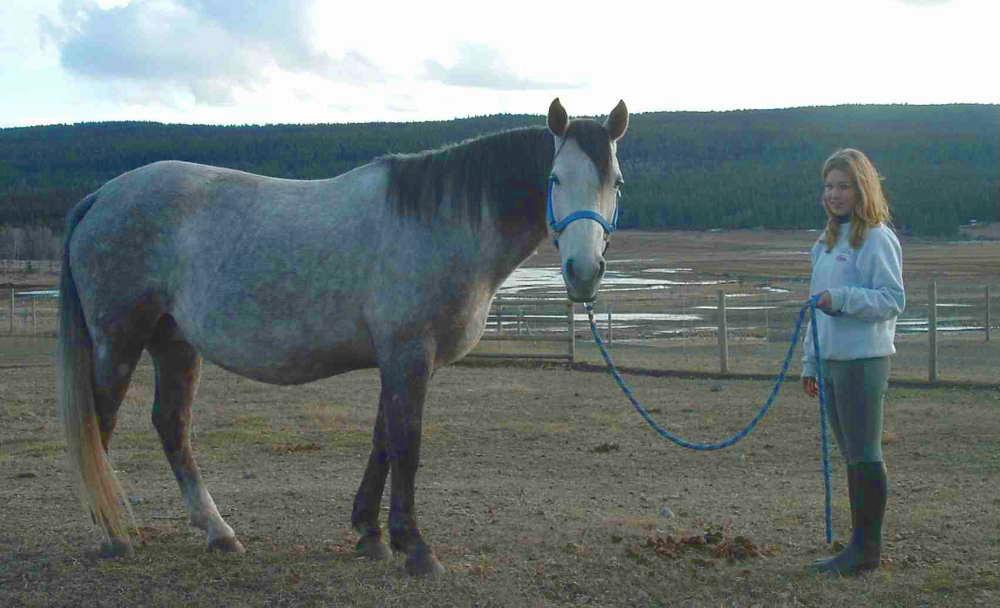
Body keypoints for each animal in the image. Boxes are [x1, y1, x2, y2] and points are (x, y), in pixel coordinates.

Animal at [59, 98, 628, 575]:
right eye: (554, 178)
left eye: (616, 182)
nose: (583, 273)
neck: (440, 224)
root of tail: (102, 195)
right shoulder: (408, 353)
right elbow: (406, 442)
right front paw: (415, 548)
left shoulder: (397, 357)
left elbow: (383, 440)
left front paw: (370, 534)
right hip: (119, 340)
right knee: (100, 421)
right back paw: (113, 535)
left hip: (174, 342)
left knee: (171, 425)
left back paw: (217, 533)